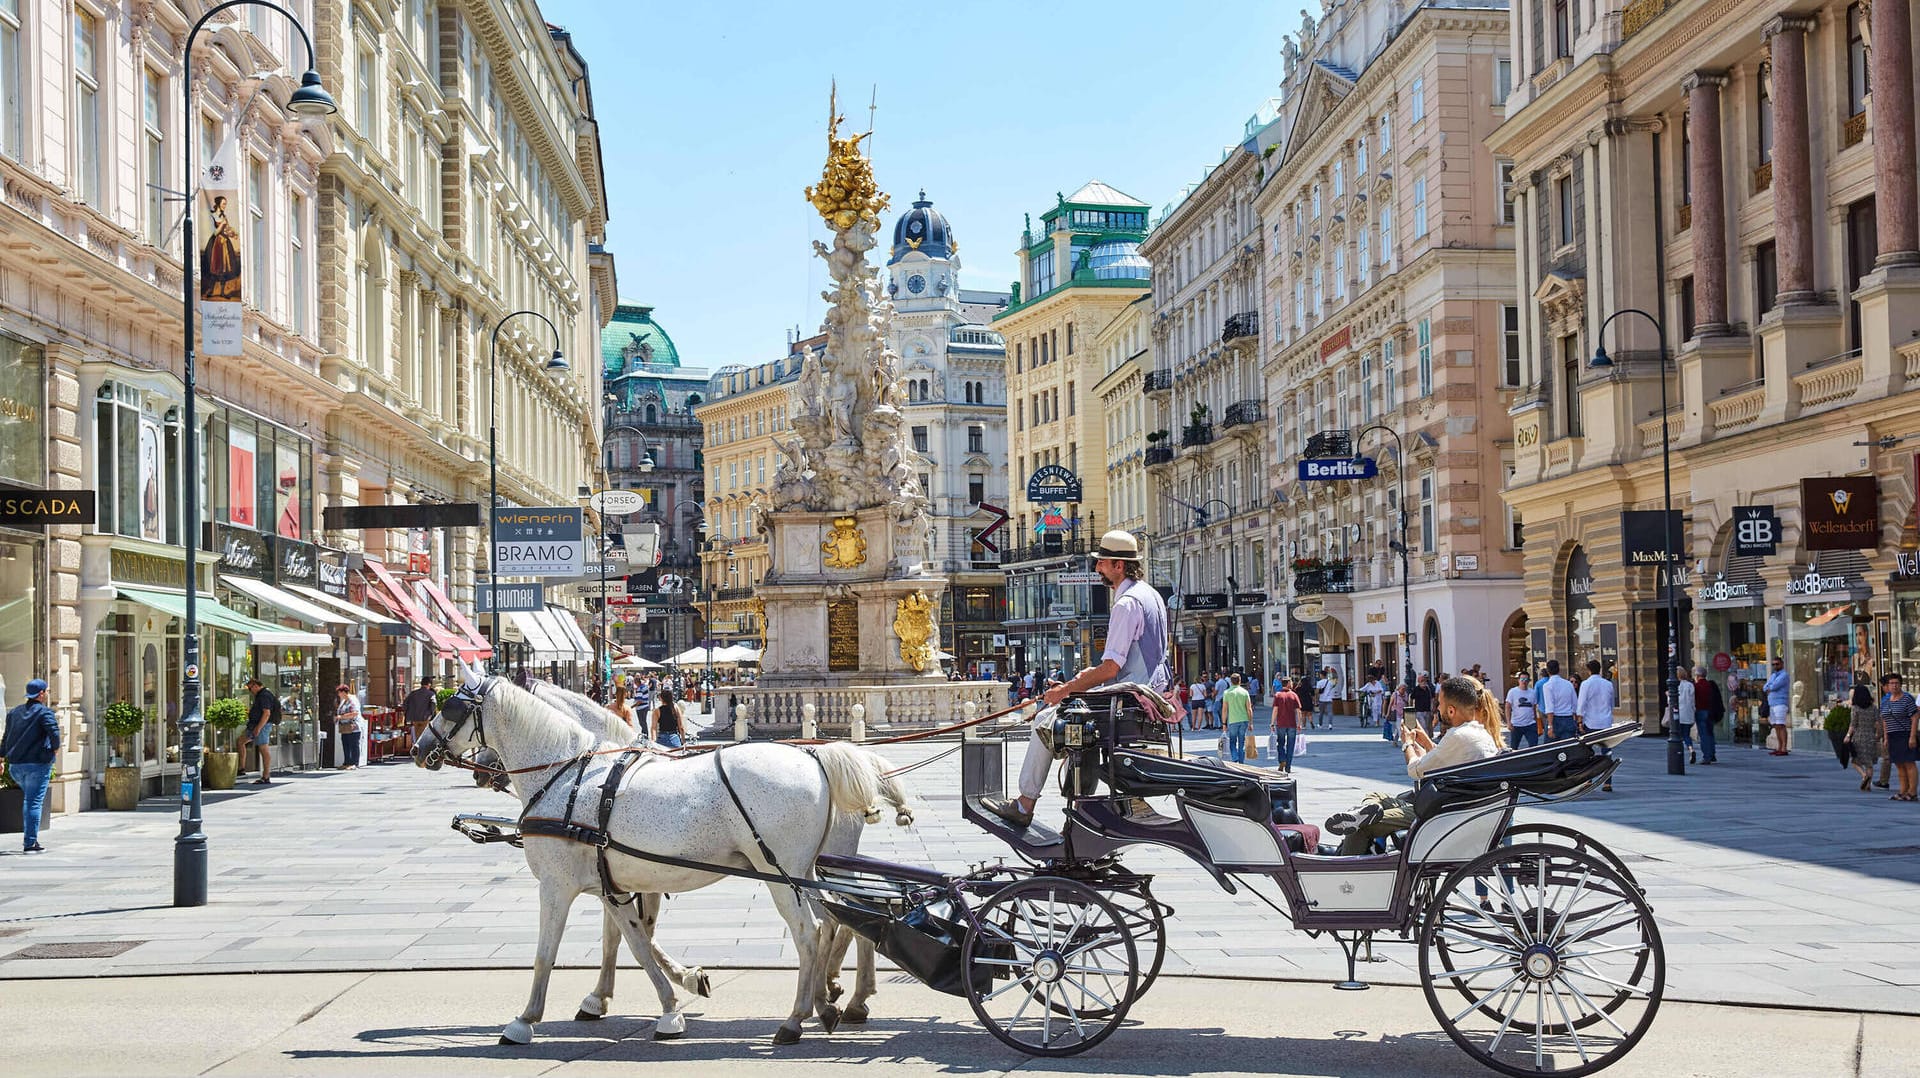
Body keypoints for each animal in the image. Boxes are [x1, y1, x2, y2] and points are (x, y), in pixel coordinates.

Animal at [420, 672, 879, 1045]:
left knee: (812, 931)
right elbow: (634, 941)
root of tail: (815, 758)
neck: (567, 774)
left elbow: (547, 952)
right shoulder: (612, 883)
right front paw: (667, 1002)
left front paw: (525, 1020)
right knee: (843, 920)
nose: (422, 747)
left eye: (448, 706)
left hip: (780, 872)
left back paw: (799, 1017)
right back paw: (831, 1002)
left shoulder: (556, 885)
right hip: (805, 872)